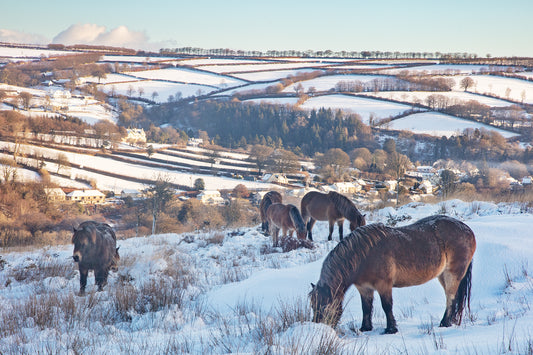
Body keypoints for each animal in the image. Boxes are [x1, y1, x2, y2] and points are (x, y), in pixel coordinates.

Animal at [310, 216, 476, 336]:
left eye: (325, 306)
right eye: (313, 305)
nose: (318, 328)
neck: (364, 254)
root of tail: (467, 230)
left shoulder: (384, 285)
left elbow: (386, 306)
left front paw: (390, 329)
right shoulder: (364, 288)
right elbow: (366, 308)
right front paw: (365, 328)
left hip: (452, 274)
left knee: (450, 297)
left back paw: (445, 323)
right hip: (442, 275)